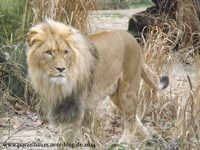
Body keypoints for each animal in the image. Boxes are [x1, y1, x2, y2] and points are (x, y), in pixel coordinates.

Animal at [26, 19, 169, 146]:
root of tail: (133, 40)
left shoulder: (75, 109)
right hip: (116, 94)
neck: (57, 85)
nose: (61, 69)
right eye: (49, 52)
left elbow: (67, 138)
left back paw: (124, 143)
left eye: (65, 52)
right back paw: (147, 138)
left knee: (130, 120)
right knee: (134, 118)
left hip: (128, 90)